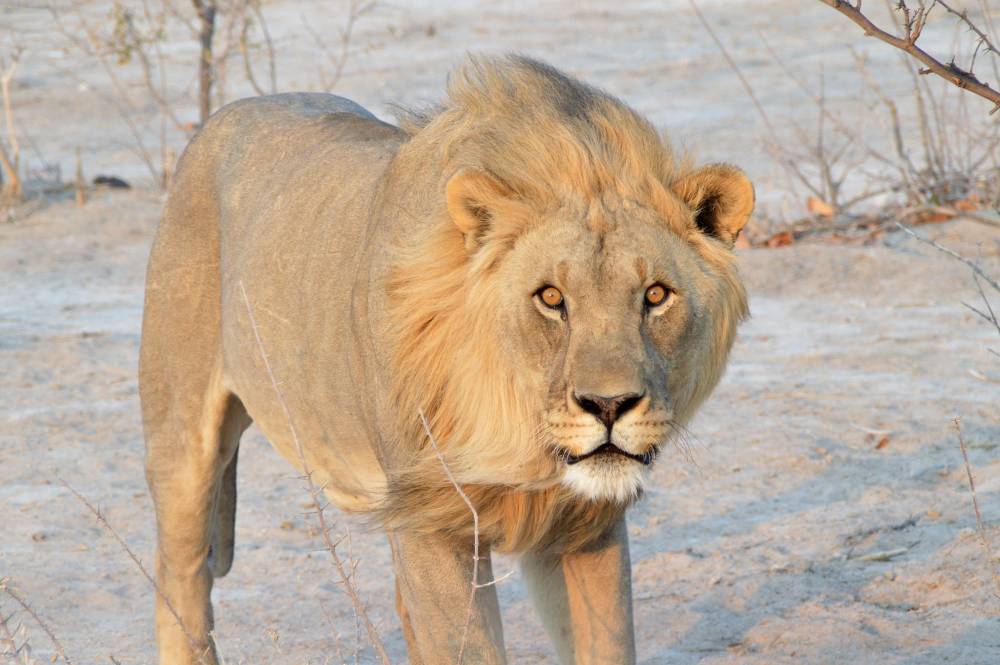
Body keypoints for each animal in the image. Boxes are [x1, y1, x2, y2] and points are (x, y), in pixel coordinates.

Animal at [139, 55, 752, 664]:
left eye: (656, 295)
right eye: (551, 298)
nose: (609, 405)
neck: (519, 435)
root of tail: (227, 114)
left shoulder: (586, 526)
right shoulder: (432, 524)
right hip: (181, 441)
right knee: (182, 586)